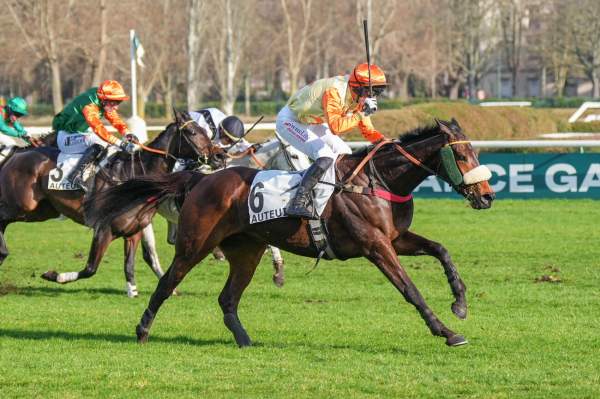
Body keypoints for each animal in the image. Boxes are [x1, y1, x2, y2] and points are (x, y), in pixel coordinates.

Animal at [0, 109, 225, 296]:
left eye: (206, 132)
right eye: (193, 132)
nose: (219, 156)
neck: (134, 177)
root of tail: (18, 152)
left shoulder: (133, 232)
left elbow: (130, 265)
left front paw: (133, 292)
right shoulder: (104, 229)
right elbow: (90, 269)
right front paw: (55, 275)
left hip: (41, 211)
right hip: (21, 204)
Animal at [86, 119, 494, 346]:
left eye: (475, 152)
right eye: (461, 156)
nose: (487, 196)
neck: (375, 181)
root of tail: (201, 178)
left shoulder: (394, 239)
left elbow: (441, 250)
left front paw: (459, 303)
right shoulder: (375, 245)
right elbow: (410, 288)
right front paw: (446, 332)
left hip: (246, 251)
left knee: (227, 299)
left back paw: (245, 340)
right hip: (195, 244)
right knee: (167, 282)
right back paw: (142, 330)